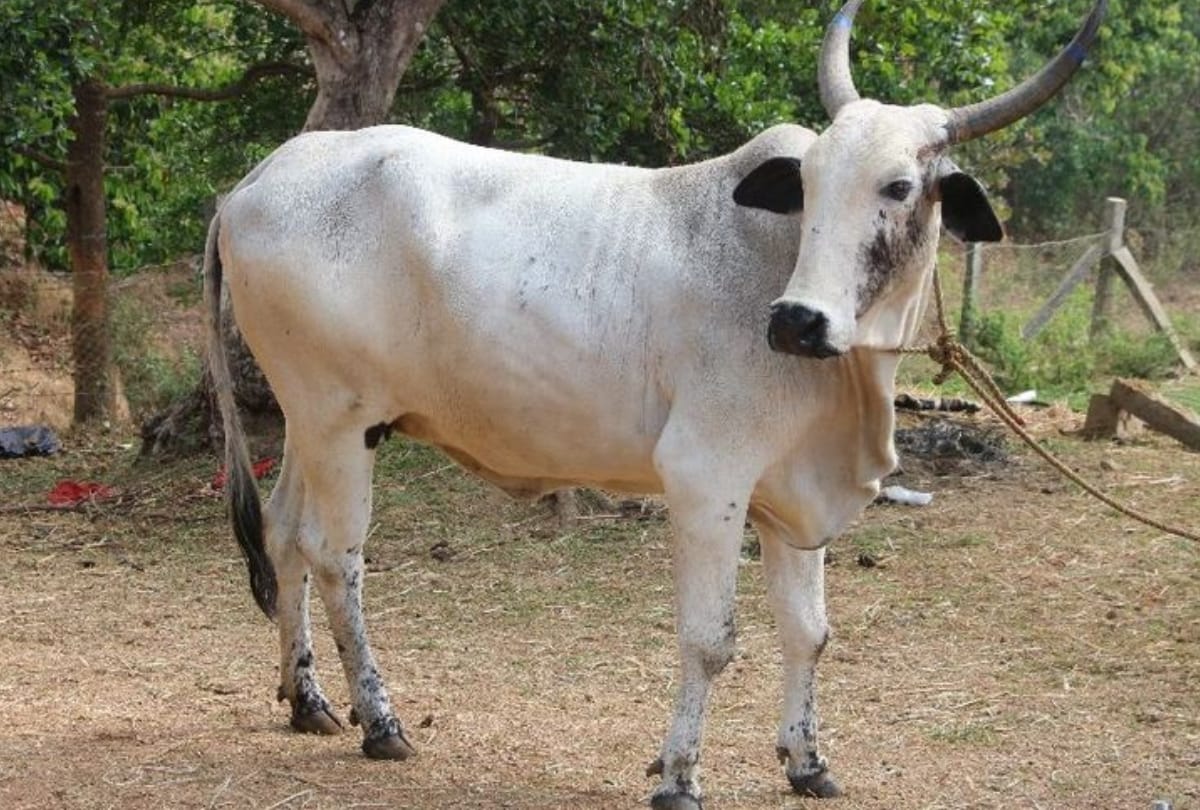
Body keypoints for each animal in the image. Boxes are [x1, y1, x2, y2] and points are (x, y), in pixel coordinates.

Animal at [206, 1, 1105, 806]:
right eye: (811, 184)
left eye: (898, 185)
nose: (797, 321)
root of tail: (255, 180)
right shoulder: (707, 476)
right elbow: (711, 641)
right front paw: (678, 777)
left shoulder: (792, 495)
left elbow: (808, 633)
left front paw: (807, 762)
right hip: (339, 422)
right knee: (336, 557)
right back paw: (380, 720)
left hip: (313, 424)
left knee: (284, 536)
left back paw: (308, 700)